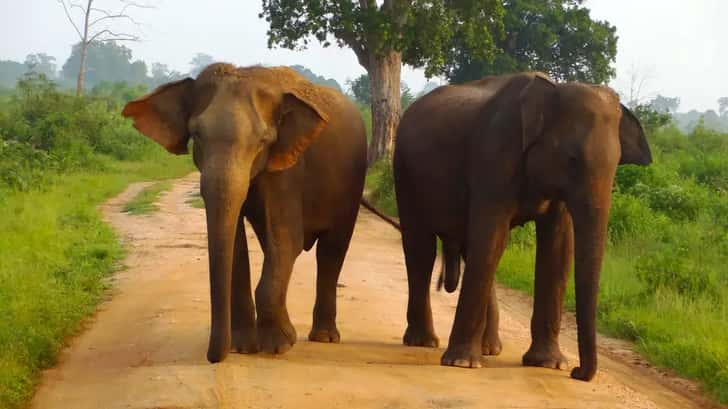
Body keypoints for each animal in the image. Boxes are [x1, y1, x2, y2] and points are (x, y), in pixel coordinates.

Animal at [123, 62, 370, 362]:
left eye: (263, 141)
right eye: (196, 135)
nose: (214, 357)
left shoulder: (287, 169)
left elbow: (287, 241)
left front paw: (277, 347)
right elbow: (240, 247)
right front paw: (243, 348)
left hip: (349, 191)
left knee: (330, 252)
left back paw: (323, 337)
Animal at [396, 71, 652, 380]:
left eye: (617, 164)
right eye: (572, 159)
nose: (577, 372)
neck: (552, 90)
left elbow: (557, 249)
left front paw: (550, 364)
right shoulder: (494, 156)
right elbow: (493, 237)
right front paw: (461, 363)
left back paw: (489, 349)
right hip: (404, 171)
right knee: (421, 248)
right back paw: (425, 342)